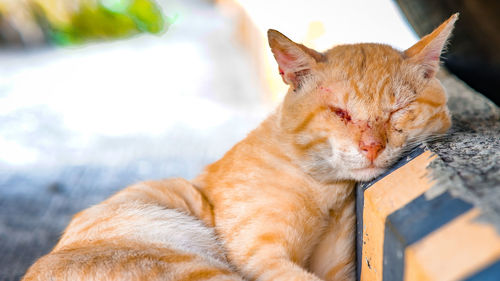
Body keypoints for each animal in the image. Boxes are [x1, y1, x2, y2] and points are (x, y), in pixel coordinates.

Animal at [22, 14, 458, 280]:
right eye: (340, 113)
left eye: (398, 111)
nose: (371, 147)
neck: (326, 191)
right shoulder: (262, 258)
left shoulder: (335, 267)